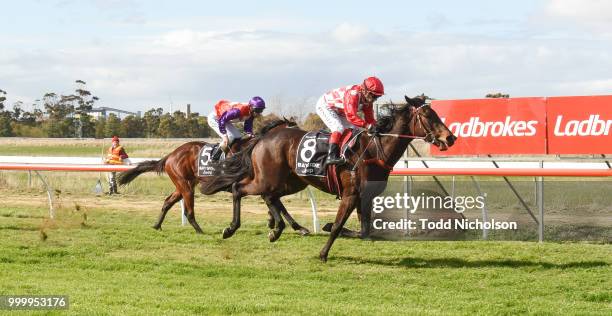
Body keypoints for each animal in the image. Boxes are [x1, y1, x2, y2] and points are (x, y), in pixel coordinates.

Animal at [116, 119, 310, 236]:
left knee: (168, 202)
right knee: (188, 211)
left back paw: (157, 225)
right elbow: (277, 204)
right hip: (185, 185)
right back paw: (200, 231)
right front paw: (280, 224)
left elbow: (279, 204)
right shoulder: (258, 183)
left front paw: (297, 227)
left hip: (183, 185)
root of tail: (170, 155)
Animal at [201, 96, 454, 262]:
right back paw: (232, 228)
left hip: (291, 181)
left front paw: (328, 226)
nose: (450, 138)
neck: (373, 149)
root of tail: (263, 138)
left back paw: (279, 229)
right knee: (239, 188)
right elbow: (340, 225)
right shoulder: (350, 194)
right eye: (427, 115)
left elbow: (365, 231)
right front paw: (323, 251)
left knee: (271, 198)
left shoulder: (366, 197)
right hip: (268, 179)